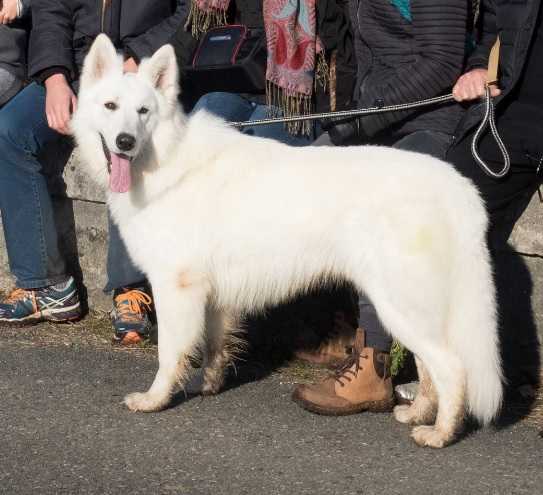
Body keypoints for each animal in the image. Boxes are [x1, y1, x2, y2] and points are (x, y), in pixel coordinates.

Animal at [73, 35, 506, 450]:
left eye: (143, 111)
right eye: (111, 106)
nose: (125, 142)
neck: (165, 158)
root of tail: (456, 185)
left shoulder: (176, 289)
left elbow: (168, 353)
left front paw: (155, 399)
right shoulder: (211, 297)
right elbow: (213, 346)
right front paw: (208, 385)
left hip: (398, 303)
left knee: (452, 368)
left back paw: (441, 434)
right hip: (409, 307)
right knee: (430, 366)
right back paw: (417, 414)